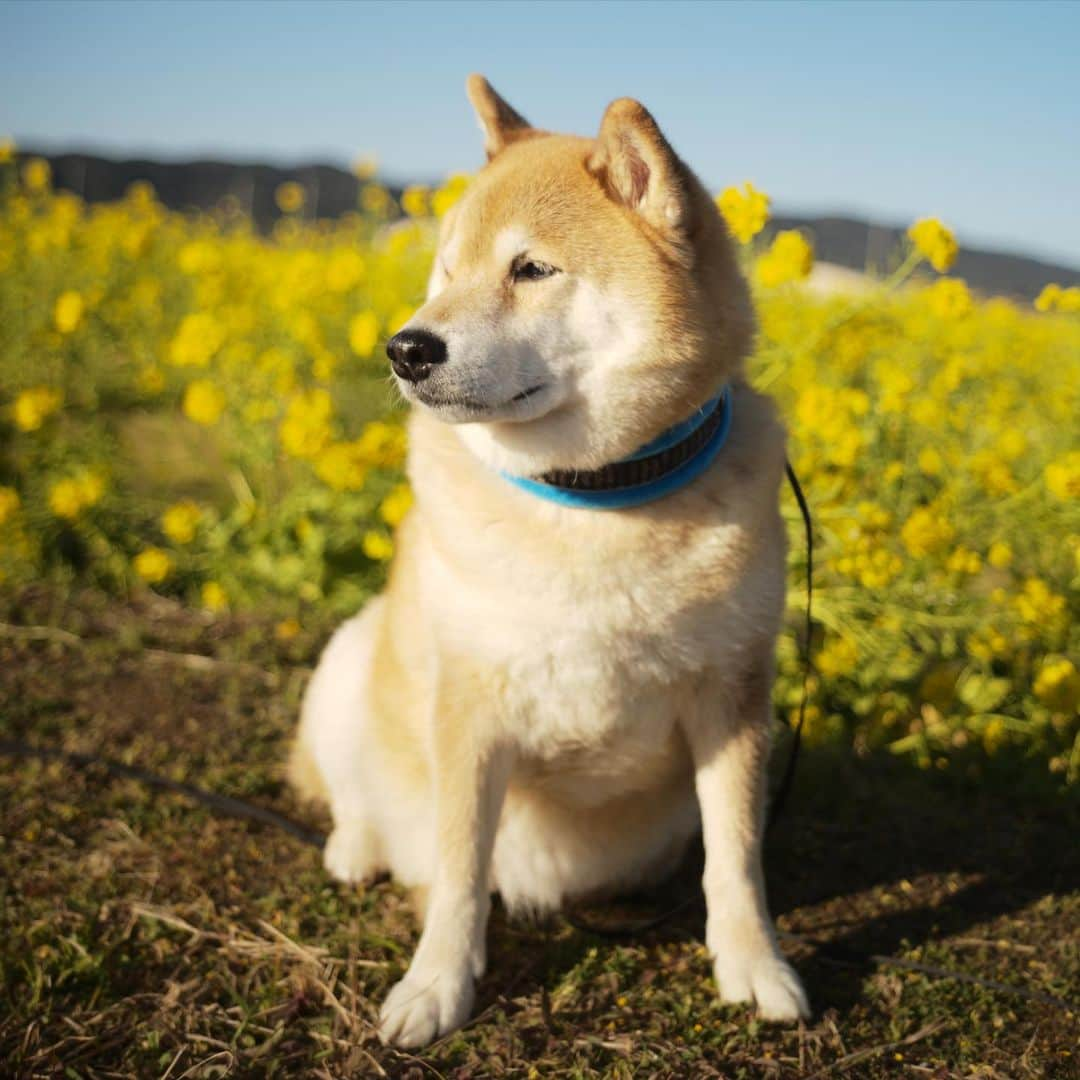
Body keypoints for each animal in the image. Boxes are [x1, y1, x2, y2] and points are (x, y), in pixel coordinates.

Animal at [289, 73, 812, 1045]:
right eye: (447, 268)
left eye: (530, 270)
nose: (406, 347)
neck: (592, 498)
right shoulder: (468, 703)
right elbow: (459, 871)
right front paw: (437, 986)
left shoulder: (734, 697)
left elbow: (735, 857)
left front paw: (754, 965)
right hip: (351, 659)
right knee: (353, 791)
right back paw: (357, 845)